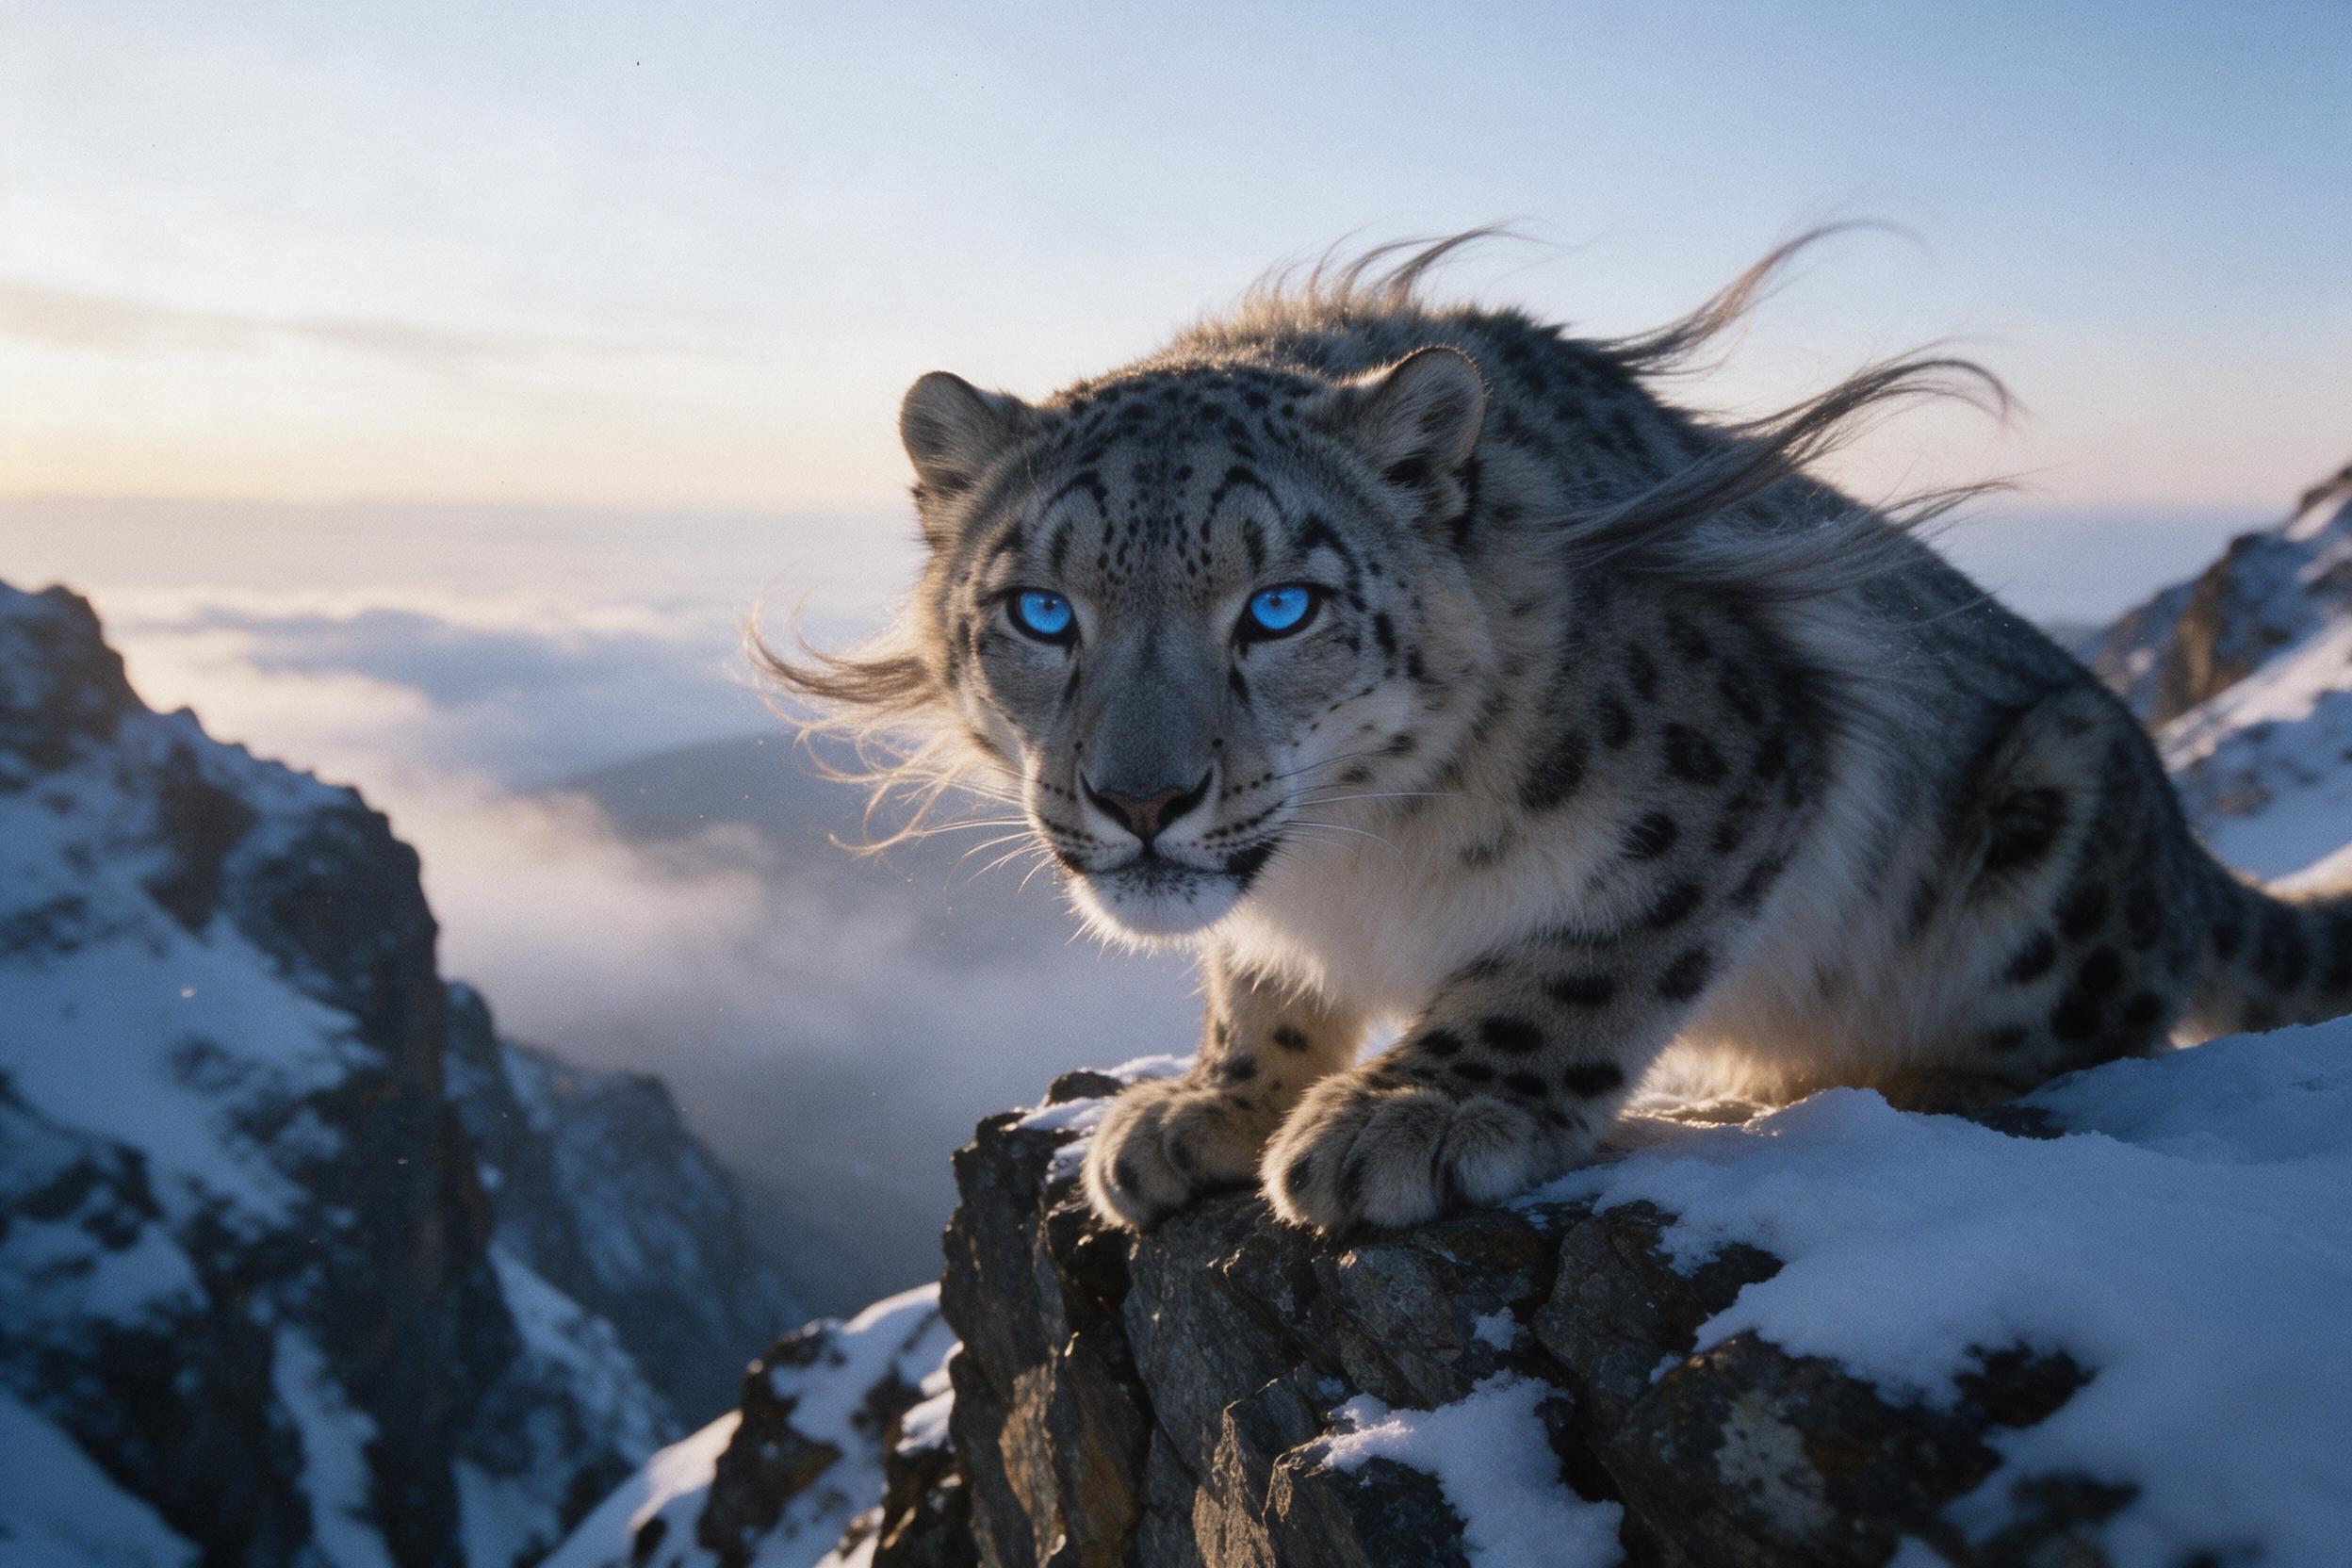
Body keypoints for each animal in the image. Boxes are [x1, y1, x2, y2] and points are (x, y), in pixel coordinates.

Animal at [757, 232, 2352, 1235]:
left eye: (1278, 607)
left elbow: (1576, 959)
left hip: (2051, 814)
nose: (1142, 800)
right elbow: (1256, 972)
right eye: (1041, 611)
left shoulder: (1726, 771)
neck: (1355, 871)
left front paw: (1416, 1114)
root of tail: (2181, 844)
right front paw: (1207, 1102)